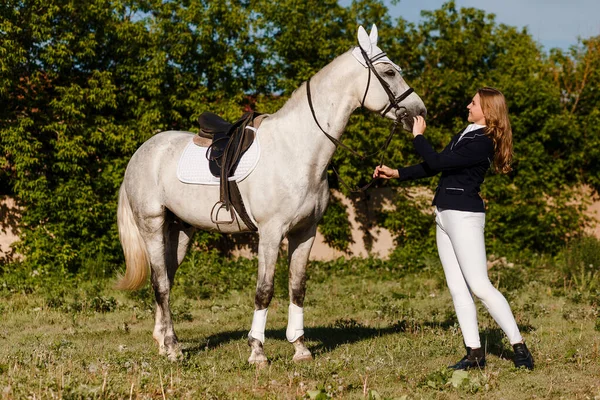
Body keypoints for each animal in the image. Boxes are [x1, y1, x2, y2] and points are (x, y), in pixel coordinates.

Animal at [116, 23, 426, 364]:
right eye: (389, 71)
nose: (419, 112)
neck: (297, 149)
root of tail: (141, 153)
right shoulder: (270, 233)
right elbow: (264, 291)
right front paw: (257, 352)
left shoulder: (305, 232)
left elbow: (297, 287)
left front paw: (300, 348)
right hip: (152, 226)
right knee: (160, 283)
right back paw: (172, 348)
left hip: (180, 231)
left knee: (166, 281)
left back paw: (163, 342)